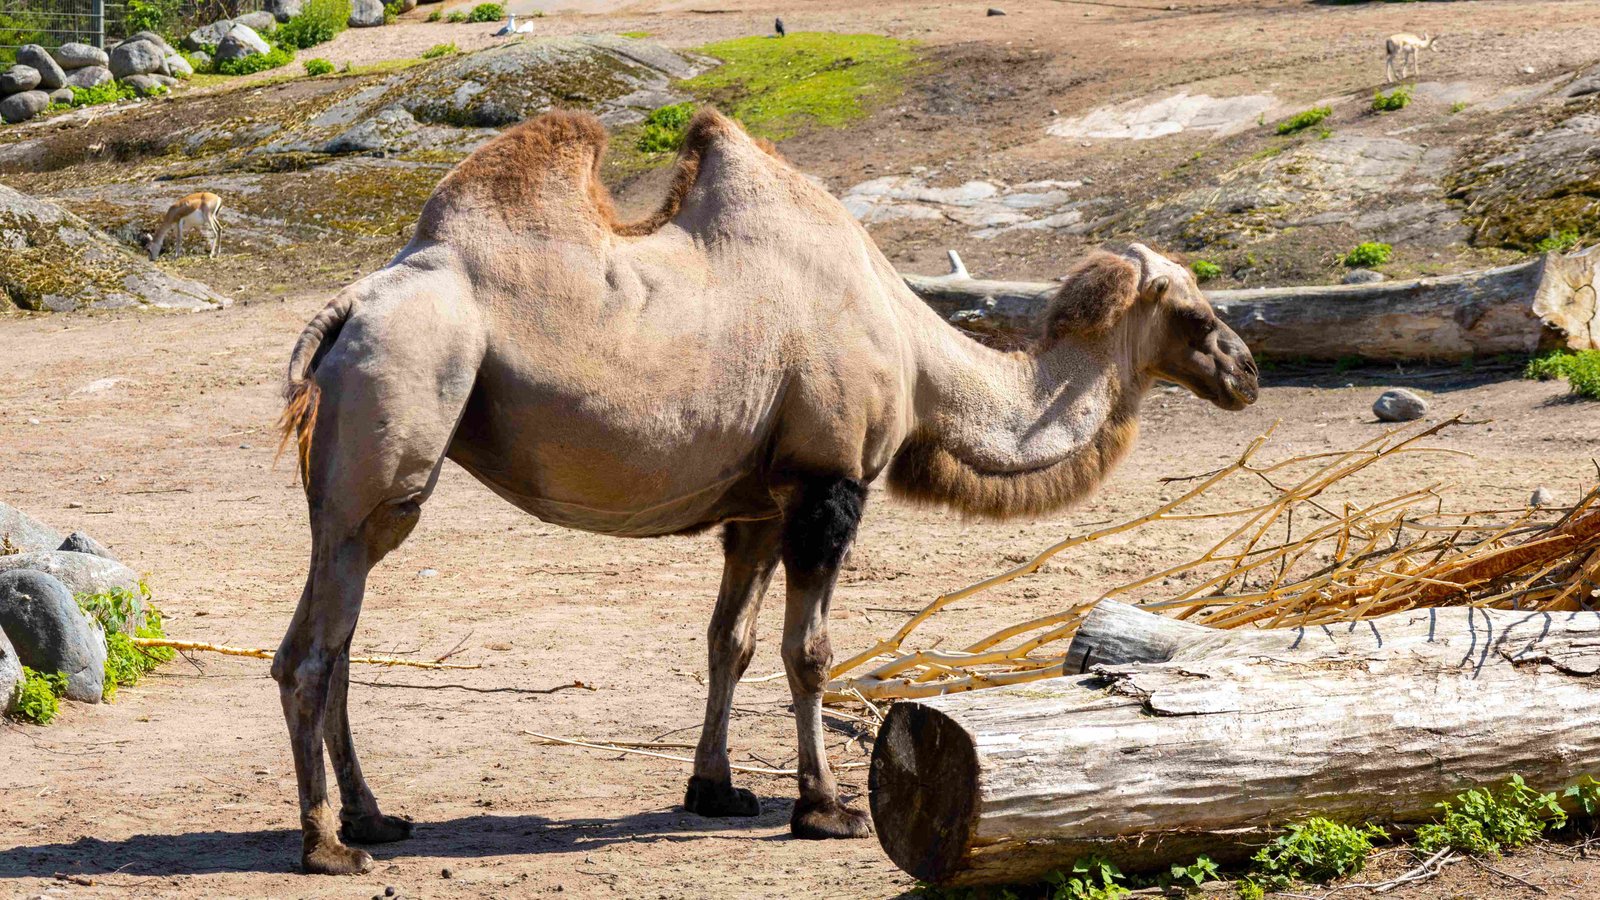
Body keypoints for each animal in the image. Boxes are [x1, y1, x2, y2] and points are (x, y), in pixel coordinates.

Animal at [272, 108, 1259, 875]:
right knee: (320, 649)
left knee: (321, 640)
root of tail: (350, 305)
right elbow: (809, 651)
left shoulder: (754, 504)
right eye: (1193, 311)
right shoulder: (830, 479)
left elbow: (730, 644)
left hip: (346, 483)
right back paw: (330, 846)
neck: (914, 350)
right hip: (399, 429)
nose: (1246, 371)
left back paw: (374, 819)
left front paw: (715, 789)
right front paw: (826, 809)